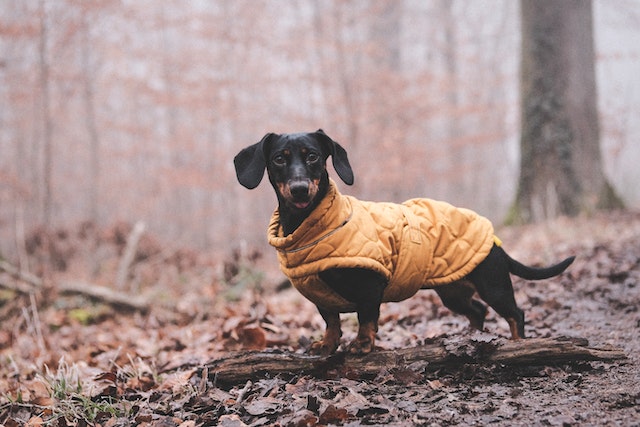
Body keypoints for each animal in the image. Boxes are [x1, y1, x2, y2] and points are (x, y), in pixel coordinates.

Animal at [234, 129, 576, 356]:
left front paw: (363, 344)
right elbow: (332, 321)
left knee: (515, 314)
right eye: (279, 159)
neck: (312, 226)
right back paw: (470, 338)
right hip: (452, 292)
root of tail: (494, 240)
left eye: (313, 156)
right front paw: (327, 344)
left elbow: (366, 318)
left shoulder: (370, 287)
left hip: (494, 285)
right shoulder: (321, 298)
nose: (300, 189)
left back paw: (517, 344)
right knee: (477, 311)